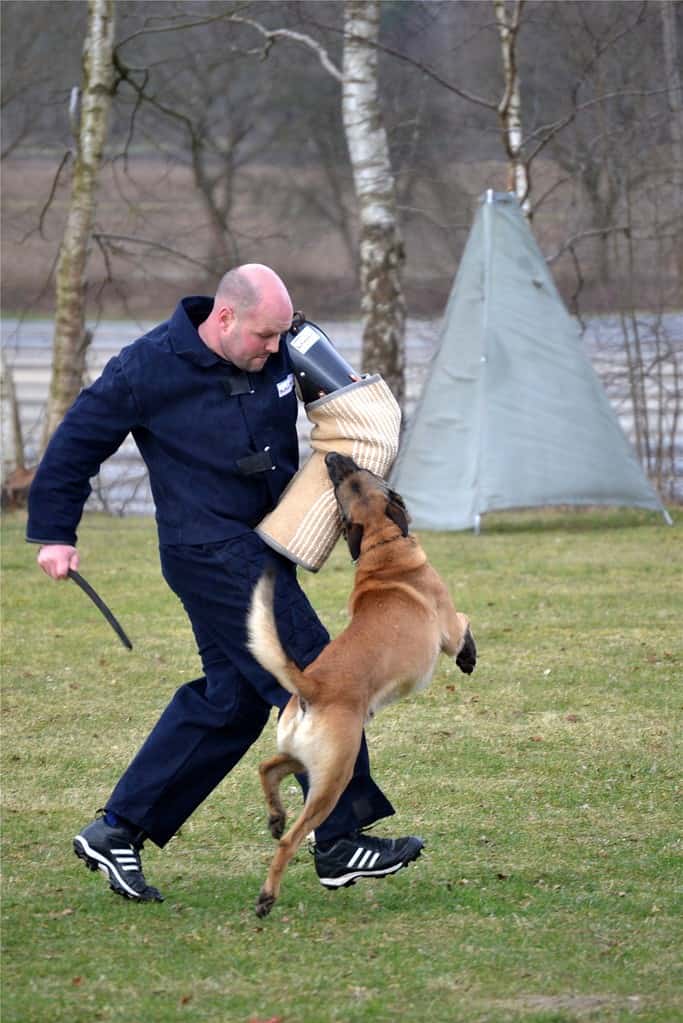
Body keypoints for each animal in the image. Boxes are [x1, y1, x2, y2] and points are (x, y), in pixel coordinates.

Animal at [248, 452, 478, 916]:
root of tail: (311, 685)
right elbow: (464, 624)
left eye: (350, 481)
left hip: (311, 759)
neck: (382, 542)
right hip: (335, 774)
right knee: (290, 840)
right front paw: (469, 657)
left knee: (267, 767)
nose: (335, 457)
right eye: (368, 474)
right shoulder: (445, 628)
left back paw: (275, 817)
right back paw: (268, 894)